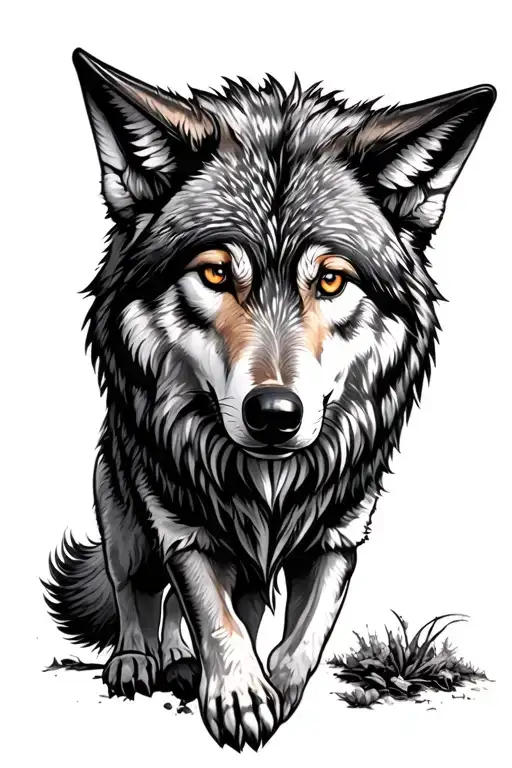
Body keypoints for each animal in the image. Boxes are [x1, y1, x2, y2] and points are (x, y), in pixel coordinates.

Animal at [44, 48, 495, 751]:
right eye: (215, 273)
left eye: (331, 280)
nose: (275, 416)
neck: (269, 484)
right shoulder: (183, 525)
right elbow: (210, 610)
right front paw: (236, 691)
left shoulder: (338, 534)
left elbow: (301, 638)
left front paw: (269, 689)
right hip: (123, 513)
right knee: (137, 590)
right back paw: (140, 660)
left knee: (228, 607)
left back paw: (183, 662)